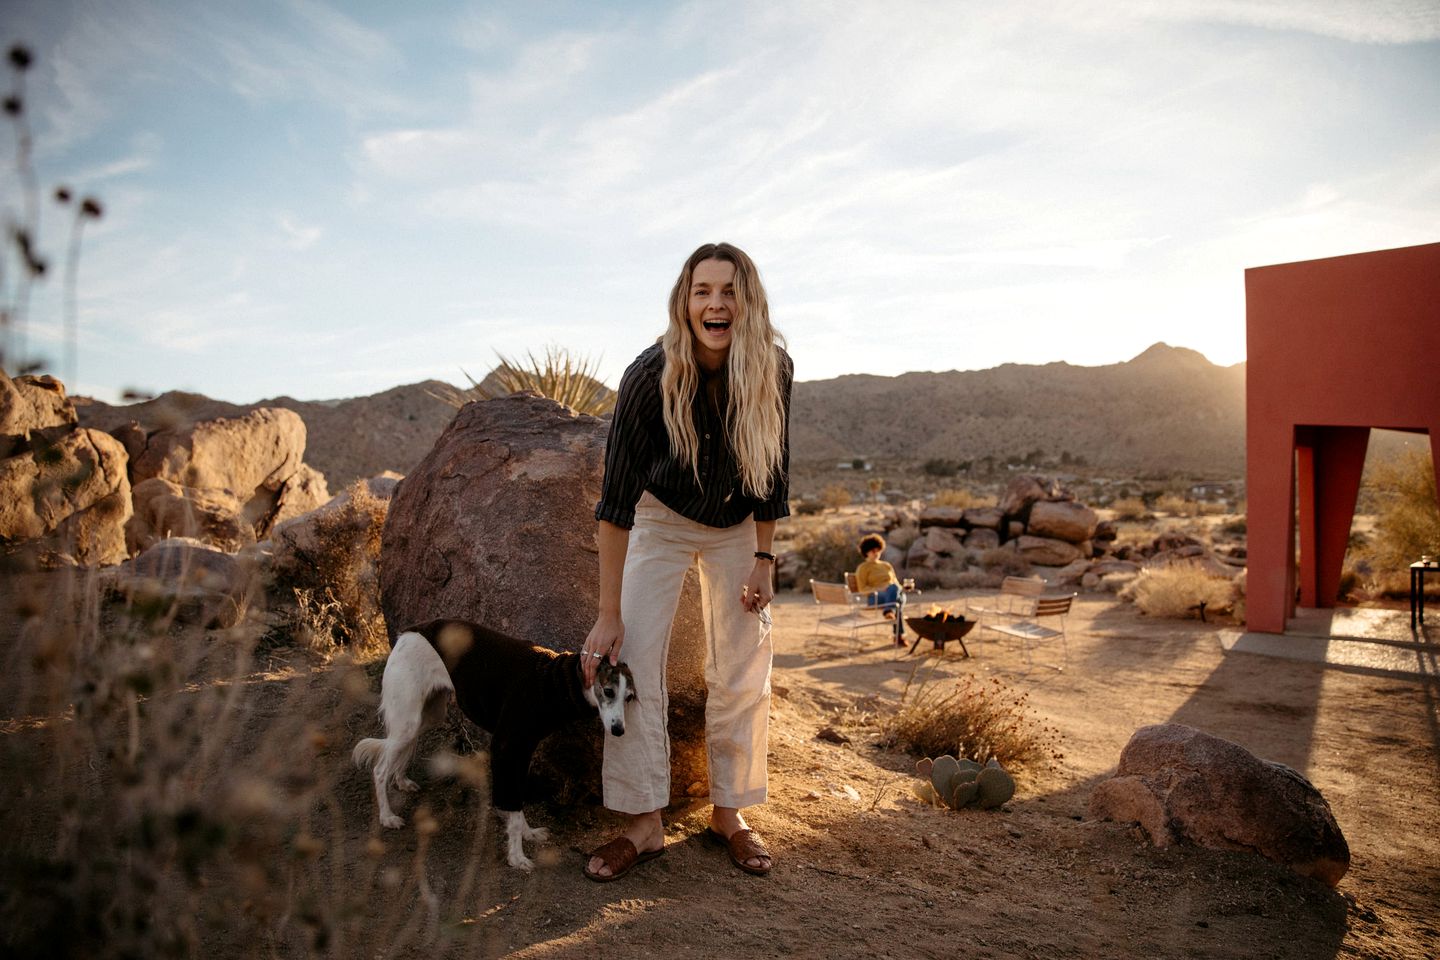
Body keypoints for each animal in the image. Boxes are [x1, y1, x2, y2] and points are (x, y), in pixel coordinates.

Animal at [351, 618, 633, 875]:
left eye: (629, 698)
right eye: (608, 691)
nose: (619, 730)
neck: (552, 682)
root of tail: (407, 635)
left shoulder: (522, 751)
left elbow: (517, 801)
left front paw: (528, 834)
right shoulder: (506, 748)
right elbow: (512, 805)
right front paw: (517, 857)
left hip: (426, 716)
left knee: (398, 751)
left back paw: (401, 781)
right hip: (409, 718)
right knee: (380, 768)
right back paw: (387, 816)